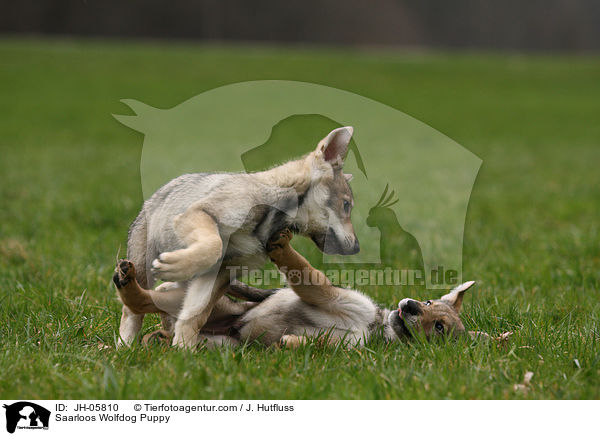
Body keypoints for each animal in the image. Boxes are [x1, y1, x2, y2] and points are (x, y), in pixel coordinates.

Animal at [113, 228, 502, 348]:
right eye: (429, 300)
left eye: (439, 327)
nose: (409, 306)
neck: (373, 327)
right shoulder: (333, 296)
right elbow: (302, 267)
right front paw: (280, 244)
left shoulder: (345, 349)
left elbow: (309, 344)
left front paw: (289, 342)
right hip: (205, 303)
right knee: (149, 303)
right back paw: (129, 282)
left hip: (220, 345)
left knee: (155, 314)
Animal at [119, 125, 358, 348]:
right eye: (346, 205)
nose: (356, 248)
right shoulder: (201, 214)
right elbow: (214, 245)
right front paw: (174, 265)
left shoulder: (221, 273)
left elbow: (194, 316)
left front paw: (183, 350)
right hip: (141, 262)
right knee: (130, 312)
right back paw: (124, 347)